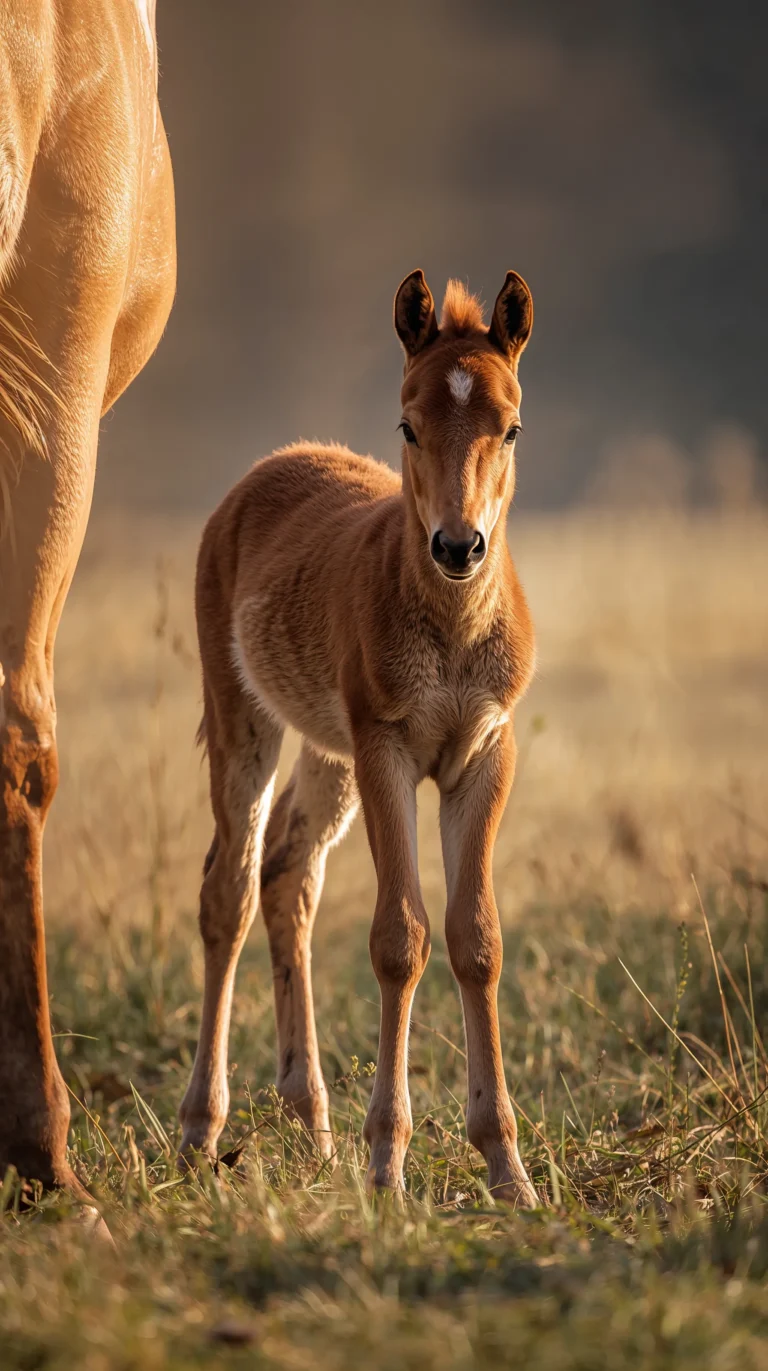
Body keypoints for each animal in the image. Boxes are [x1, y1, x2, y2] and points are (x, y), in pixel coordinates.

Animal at [180, 268, 539, 1205]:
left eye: (511, 425)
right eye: (409, 422)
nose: (459, 545)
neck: (451, 631)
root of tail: (267, 468)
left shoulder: (485, 753)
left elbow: (476, 938)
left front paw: (508, 1167)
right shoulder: (388, 751)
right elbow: (399, 938)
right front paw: (387, 1160)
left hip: (327, 752)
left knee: (287, 875)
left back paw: (313, 1126)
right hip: (245, 718)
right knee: (229, 889)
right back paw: (201, 1129)